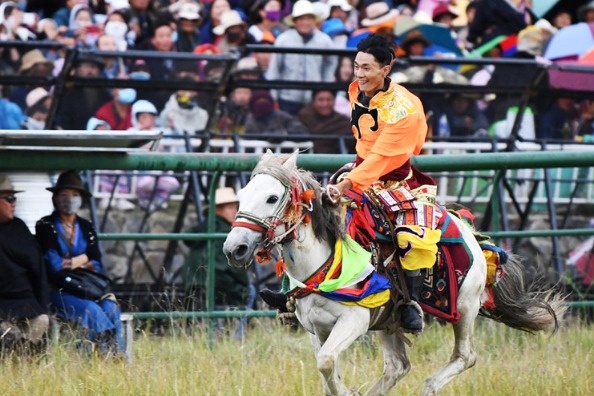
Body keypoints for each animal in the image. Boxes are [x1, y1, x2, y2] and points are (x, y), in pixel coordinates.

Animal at [222, 150, 564, 394]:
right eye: (243, 194)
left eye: (271, 198)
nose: (234, 248)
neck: (323, 265)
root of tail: (472, 234)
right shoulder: (315, 330)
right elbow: (327, 370)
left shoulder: (354, 321)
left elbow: (326, 363)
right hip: (388, 322)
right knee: (397, 367)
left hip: (465, 307)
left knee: (464, 356)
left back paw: (429, 387)